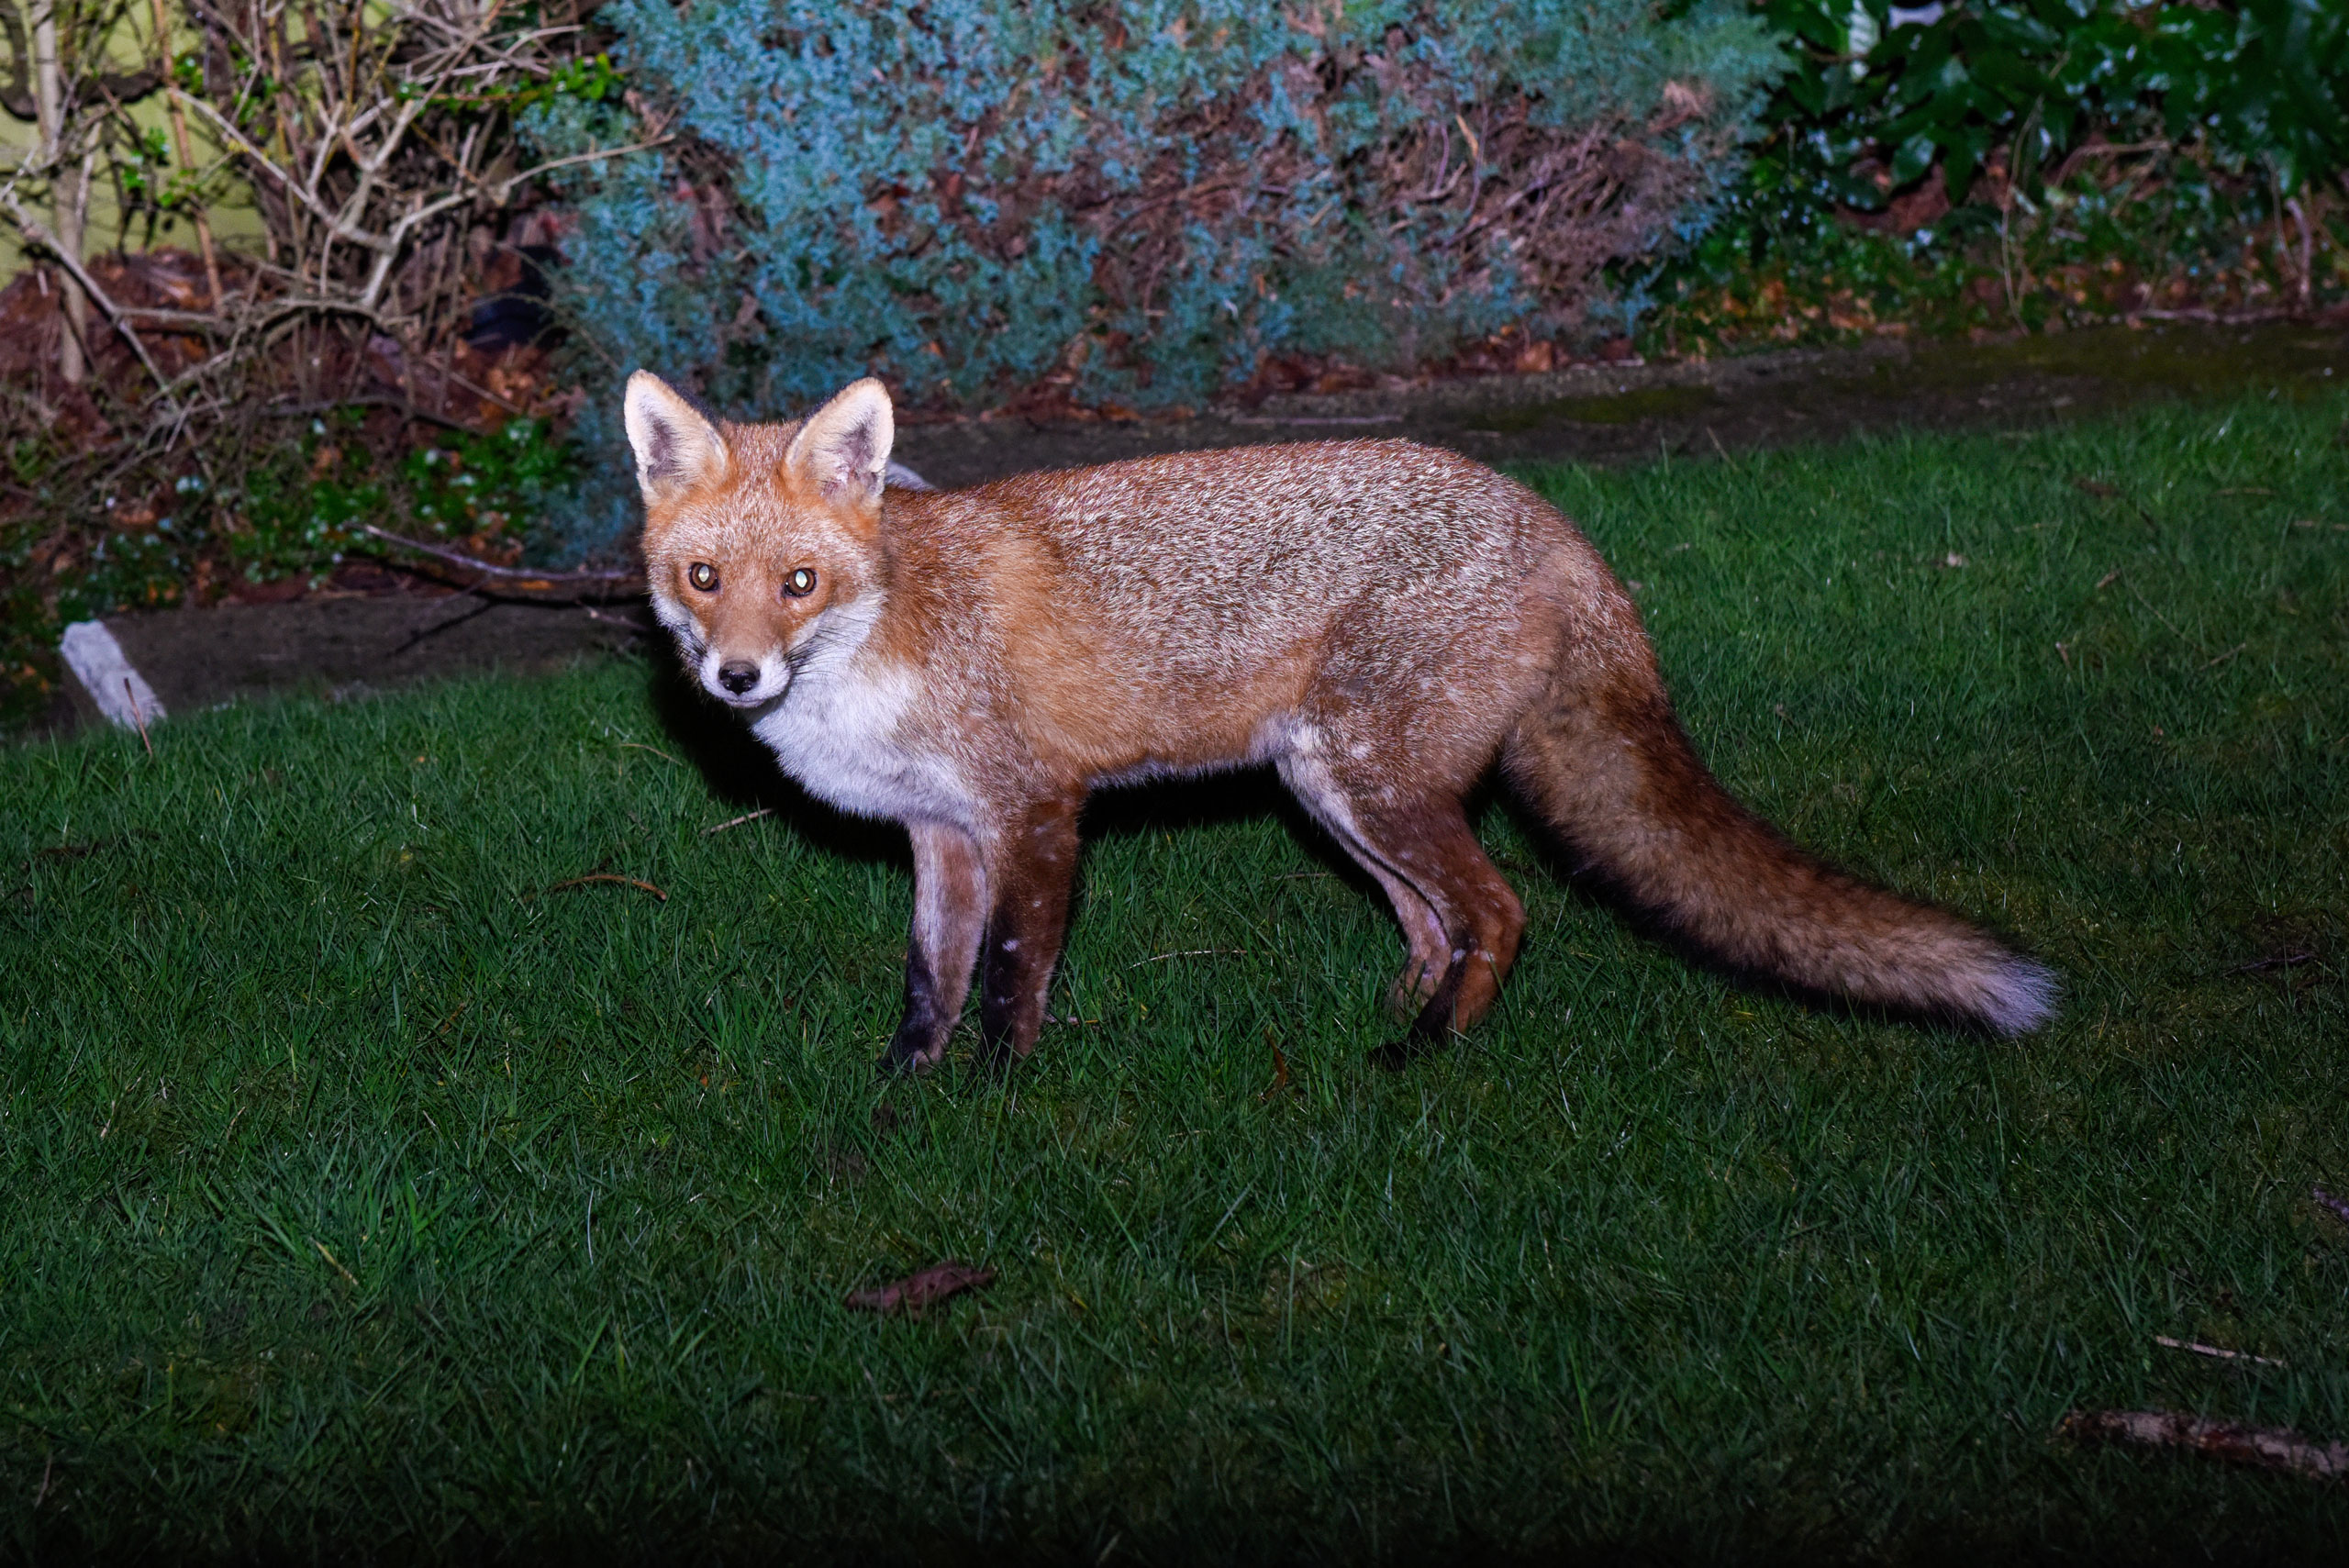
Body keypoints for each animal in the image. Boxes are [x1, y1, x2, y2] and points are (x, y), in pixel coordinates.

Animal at [625, 370, 2056, 1071]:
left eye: (798, 583)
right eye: (701, 579)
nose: (736, 681)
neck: (894, 630)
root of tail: (1550, 519)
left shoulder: (1036, 811)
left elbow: (1014, 983)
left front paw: (998, 1104)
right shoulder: (940, 835)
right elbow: (931, 982)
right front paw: (897, 1103)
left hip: (1369, 777)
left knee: (1500, 911)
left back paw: (1421, 1057)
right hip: (1331, 787)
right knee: (1431, 921)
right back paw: (1383, 1023)